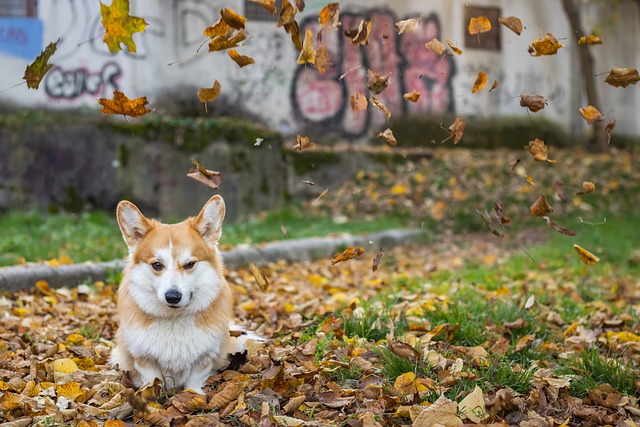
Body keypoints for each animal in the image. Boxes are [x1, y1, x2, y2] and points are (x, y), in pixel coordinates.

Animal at [110, 195, 252, 394]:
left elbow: (194, 383)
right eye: (157, 265)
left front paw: (194, 396)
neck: (174, 320)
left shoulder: (204, 358)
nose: (172, 296)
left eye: (189, 264)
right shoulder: (143, 359)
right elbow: (152, 381)